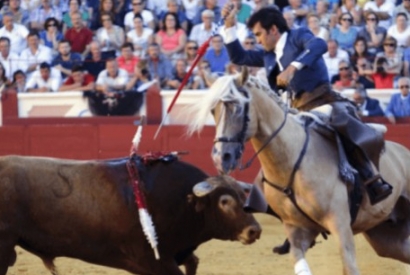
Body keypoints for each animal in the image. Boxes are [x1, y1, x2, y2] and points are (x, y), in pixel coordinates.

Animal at [0, 156, 262, 274]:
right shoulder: (155, 261)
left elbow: (193, 262)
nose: (254, 230)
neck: (183, 201)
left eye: (243, 196)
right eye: (225, 202)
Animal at [188, 69, 410, 275]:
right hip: (384, 236)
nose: (221, 157)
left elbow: (350, 267)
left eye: (238, 106)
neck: (291, 163)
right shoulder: (296, 229)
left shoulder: (340, 225)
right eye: (213, 110)